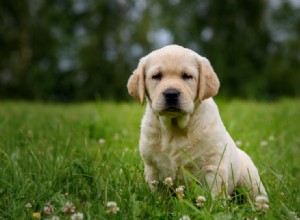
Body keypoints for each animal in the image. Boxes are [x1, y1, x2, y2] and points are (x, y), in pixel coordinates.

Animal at [126, 45, 268, 202]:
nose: (171, 94)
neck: (174, 128)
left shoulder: (213, 167)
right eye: (156, 76)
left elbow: (213, 196)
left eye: (187, 76)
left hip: (250, 180)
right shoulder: (153, 169)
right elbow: (159, 196)